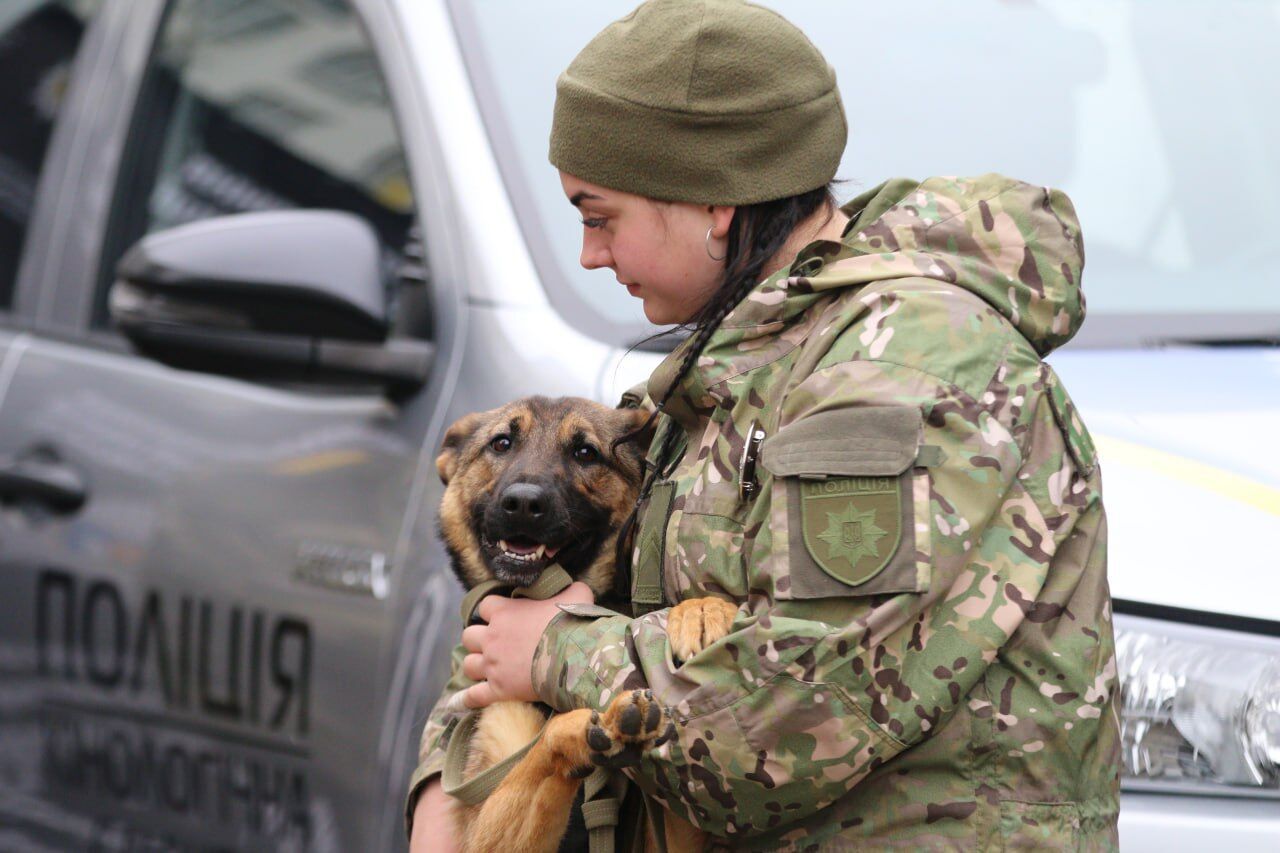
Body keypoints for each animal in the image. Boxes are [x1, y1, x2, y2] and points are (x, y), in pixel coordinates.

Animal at [435, 397, 732, 850]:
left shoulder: (677, 833)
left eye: (585, 453)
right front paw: (599, 724)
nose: (523, 504)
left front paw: (702, 610)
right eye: (501, 443)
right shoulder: (484, 833)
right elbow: (545, 744)